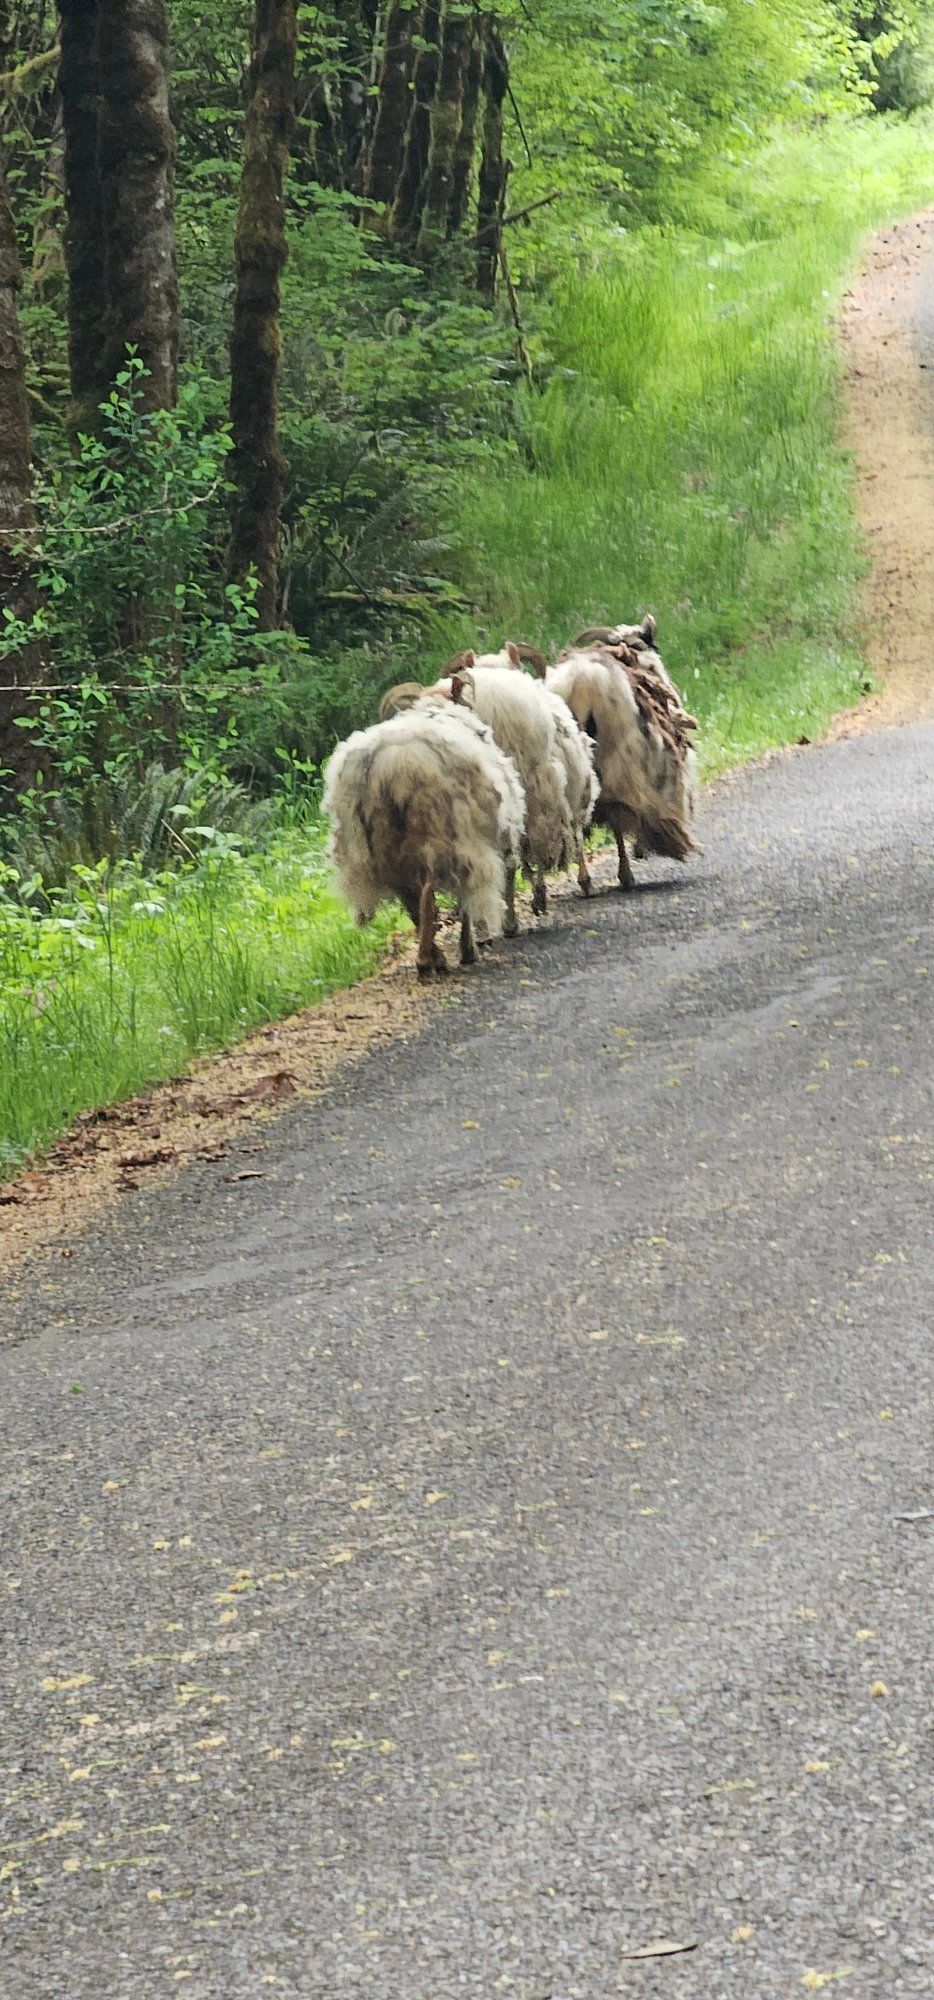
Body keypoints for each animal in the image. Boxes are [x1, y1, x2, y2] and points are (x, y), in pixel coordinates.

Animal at [322, 697, 525, 977]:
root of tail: (393, 765)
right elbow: (466, 904)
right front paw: (469, 950)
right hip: (442, 833)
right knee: (428, 892)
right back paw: (431, 960)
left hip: (380, 848)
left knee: (411, 901)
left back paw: (431, 957)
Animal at [544, 616, 699, 891]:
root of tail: (578, 684)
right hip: (618, 759)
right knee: (617, 811)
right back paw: (623, 874)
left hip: (571, 765)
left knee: (576, 819)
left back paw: (585, 881)